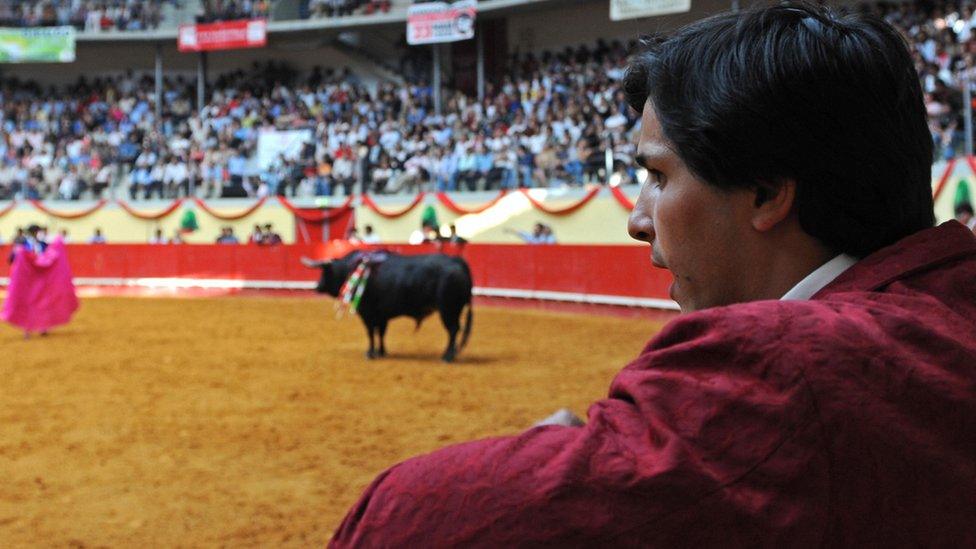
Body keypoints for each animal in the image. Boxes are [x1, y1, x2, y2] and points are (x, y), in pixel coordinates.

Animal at [304, 250, 474, 362]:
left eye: (325, 272)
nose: (317, 287)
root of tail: (456, 261)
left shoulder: (367, 314)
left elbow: (371, 333)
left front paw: (370, 353)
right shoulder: (382, 316)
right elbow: (381, 333)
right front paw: (381, 352)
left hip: (448, 310)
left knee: (453, 330)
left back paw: (448, 356)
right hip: (454, 310)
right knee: (456, 330)